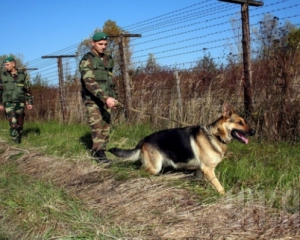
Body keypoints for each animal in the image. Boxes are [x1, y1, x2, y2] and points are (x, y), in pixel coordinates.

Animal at [109, 102, 254, 193]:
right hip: (155, 167)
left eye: (245, 122)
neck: (215, 135)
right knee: (139, 170)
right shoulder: (208, 170)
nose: (253, 132)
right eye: (240, 122)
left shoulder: (201, 171)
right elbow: (220, 187)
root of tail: (143, 139)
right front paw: (224, 197)